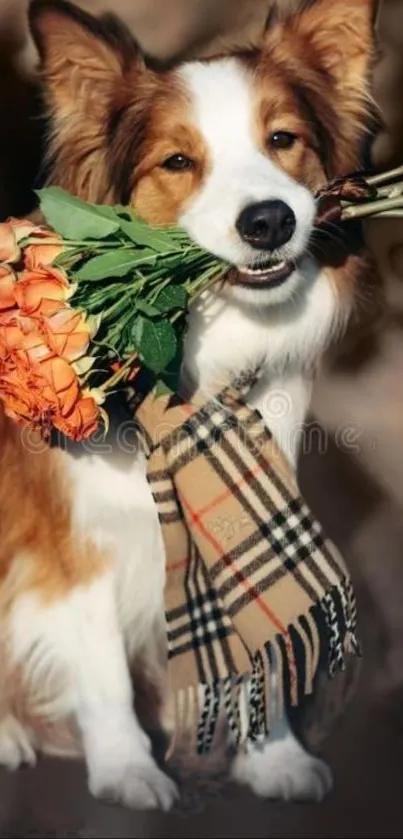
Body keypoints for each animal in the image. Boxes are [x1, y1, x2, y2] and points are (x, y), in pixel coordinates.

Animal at [0, 0, 376, 812]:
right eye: (177, 162)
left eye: (282, 140)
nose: (268, 221)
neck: (196, 383)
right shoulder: (73, 549)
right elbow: (104, 673)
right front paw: (126, 770)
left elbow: (264, 641)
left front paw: (272, 756)